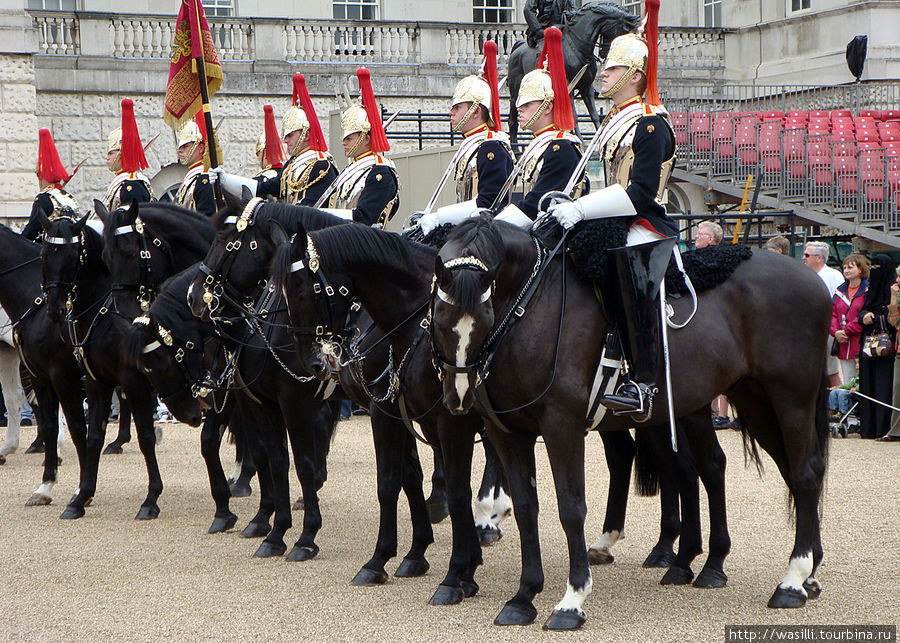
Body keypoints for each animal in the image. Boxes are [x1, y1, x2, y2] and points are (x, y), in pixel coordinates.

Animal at [428, 218, 828, 628]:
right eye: (439, 321)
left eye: (484, 318)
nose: (457, 397)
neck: (530, 308)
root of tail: (810, 278)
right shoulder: (508, 432)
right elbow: (525, 508)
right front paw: (523, 597)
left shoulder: (561, 424)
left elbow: (571, 507)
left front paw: (572, 599)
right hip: (749, 398)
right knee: (762, 471)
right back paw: (787, 572)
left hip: (790, 398)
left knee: (804, 475)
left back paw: (792, 581)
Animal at [506, 0, 640, 145]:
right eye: (623, 30)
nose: (605, 53)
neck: (577, 47)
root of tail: (517, 48)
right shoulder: (568, 85)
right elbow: (574, 116)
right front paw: (581, 141)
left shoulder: (586, 87)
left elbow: (594, 115)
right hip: (516, 93)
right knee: (512, 121)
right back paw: (515, 147)